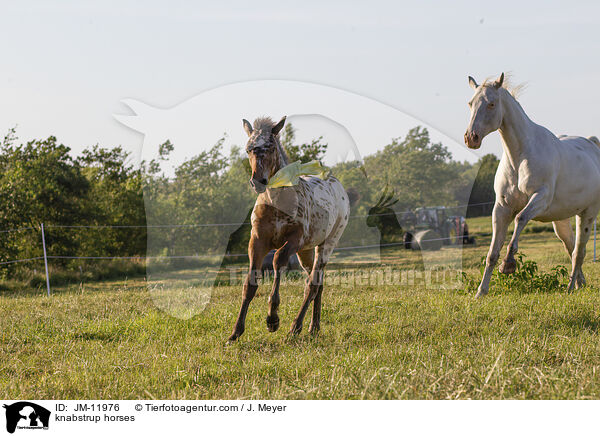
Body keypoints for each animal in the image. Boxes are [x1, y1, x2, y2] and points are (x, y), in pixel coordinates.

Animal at [466, 73, 600, 298]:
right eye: (470, 103)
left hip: (587, 214)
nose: (471, 138)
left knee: (578, 252)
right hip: (561, 221)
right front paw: (480, 292)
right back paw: (579, 284)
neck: (519, 156)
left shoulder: (539, 199)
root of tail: (592, 144)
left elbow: (520, 219)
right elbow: (492, 253)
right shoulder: (501, 208)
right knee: (571, 247)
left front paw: (508, 264)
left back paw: (570, 287)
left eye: (491, 104)